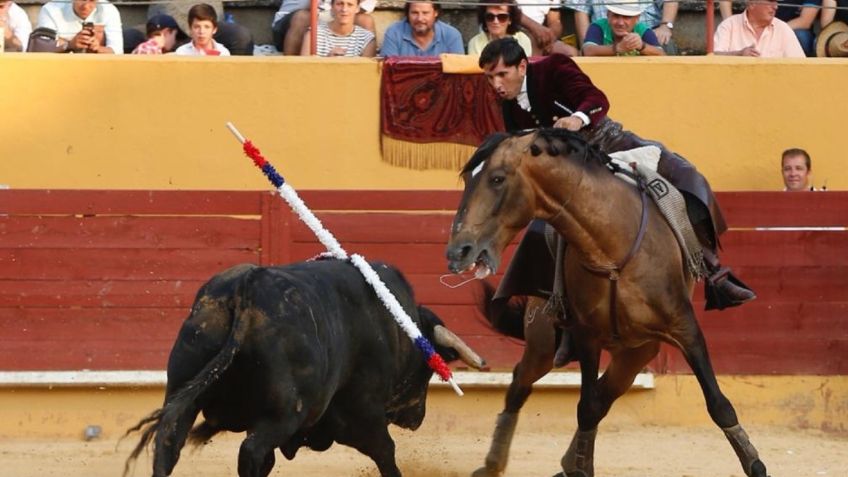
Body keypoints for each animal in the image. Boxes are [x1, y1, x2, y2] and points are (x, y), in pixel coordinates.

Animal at [122, 260, 486, 476]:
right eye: (428, 371)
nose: (417, 417)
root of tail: (246, 290)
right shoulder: (362, 414)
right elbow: (386, 452)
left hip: (182, 392)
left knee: (168, 445)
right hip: (285, 413)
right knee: (251, 450)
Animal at [448, 128, 764, 474]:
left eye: (497, 178)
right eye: (467, 179)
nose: (458, 251)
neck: (610, 248)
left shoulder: (685, 328)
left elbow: (719, 403)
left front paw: (756, 465)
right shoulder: (587, 337)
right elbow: (586, 408)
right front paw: (583, 466)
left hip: (637, 352)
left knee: (605, 392)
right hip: (545, 343)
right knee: (522, 383)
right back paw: (495, 463)